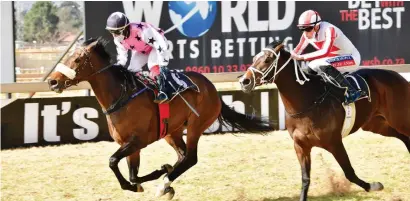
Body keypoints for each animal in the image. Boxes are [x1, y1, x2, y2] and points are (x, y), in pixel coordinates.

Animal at [46, 38, 274, 199]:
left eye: (77, 59)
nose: (52, 82)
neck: (121, 96)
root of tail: (212, 89)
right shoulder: (130, 145)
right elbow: (132, 174)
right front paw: (156, 173)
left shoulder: (137, 141)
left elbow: (112, 161)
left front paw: (151, 178)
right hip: (171, 131)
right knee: (183, 155)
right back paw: (167, 182)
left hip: (196, 125)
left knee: (191, 157)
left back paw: (164, 185)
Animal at [239, 41, 408, 201]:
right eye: (254, 59)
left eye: (267, 59)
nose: (245, 81)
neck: (308, 101)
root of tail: (400, 77)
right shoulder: (301, 146)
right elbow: (305, 179)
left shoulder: (334, 143)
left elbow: (349, 172)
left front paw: (374, 185)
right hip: (377, 124)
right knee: (404, 137)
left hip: (399, 119)